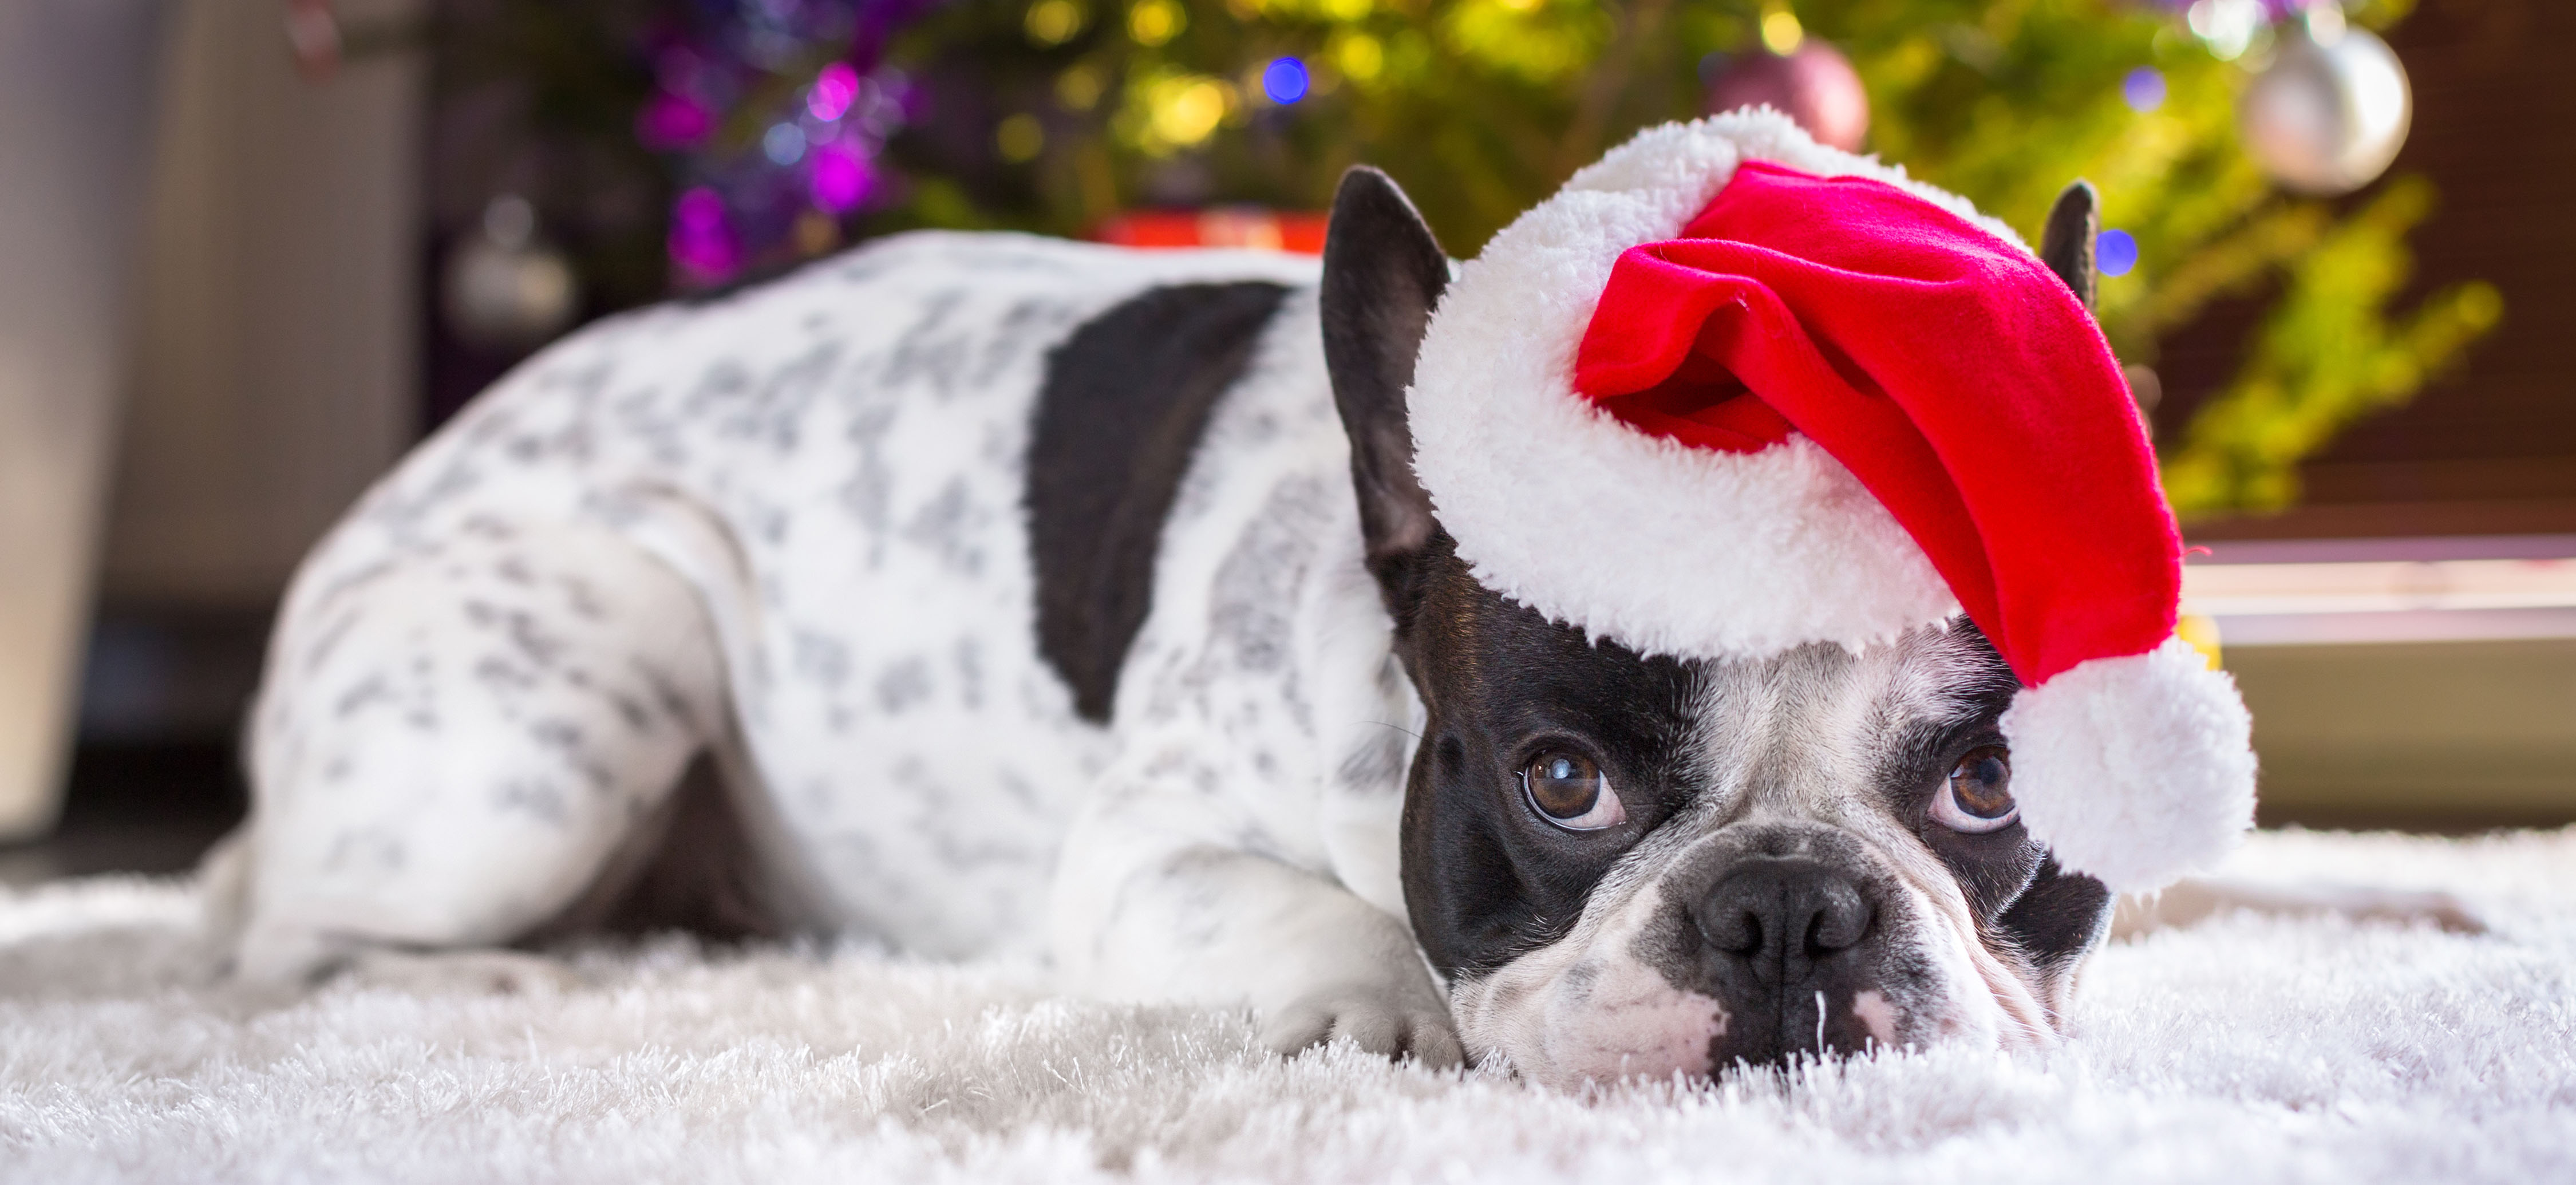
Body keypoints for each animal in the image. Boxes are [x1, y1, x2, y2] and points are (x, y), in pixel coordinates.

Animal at [211, 117, 2463, 1082]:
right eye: (1554, 785)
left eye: (1995, 791)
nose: (1790, 915)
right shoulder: (1135, 861)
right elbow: (1321, 917)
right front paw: (1384, 1009)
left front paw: (2394, 898)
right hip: (595, 657)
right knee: (281, 939)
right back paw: (531, 980)